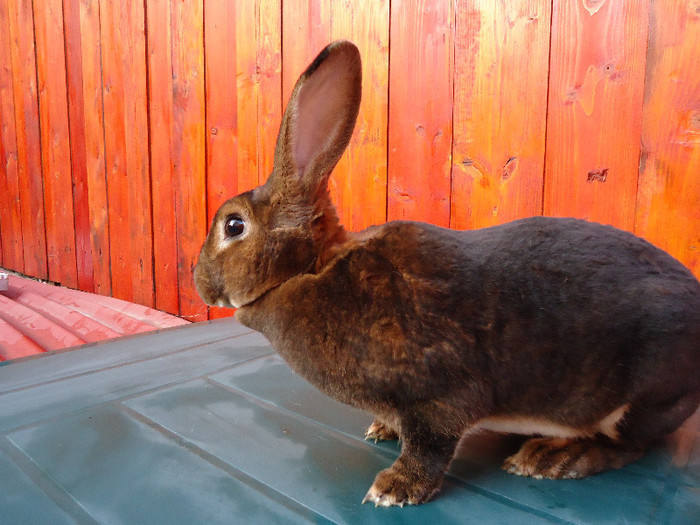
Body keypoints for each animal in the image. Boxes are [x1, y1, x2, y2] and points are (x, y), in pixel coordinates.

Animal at [194, 39, 700, 506]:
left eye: (234, 225)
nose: (199, 281)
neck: (315, 268)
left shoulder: (438, 395)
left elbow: (431, 446)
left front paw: (394, 488)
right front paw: (381, 430)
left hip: (638, 396)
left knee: (629, 446)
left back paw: (551, 457)